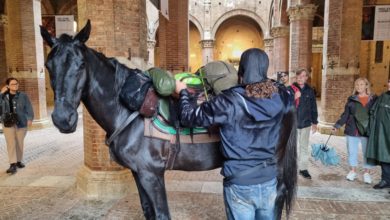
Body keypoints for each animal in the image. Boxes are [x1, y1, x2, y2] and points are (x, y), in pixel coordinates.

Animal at [39, 20, 298, 218]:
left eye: (81, 64)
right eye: (48, 65)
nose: (62, 119)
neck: (130, 110)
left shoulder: (152, 175)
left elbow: (162, 214)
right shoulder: (138, 173)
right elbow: (148, 211)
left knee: (276, 195)